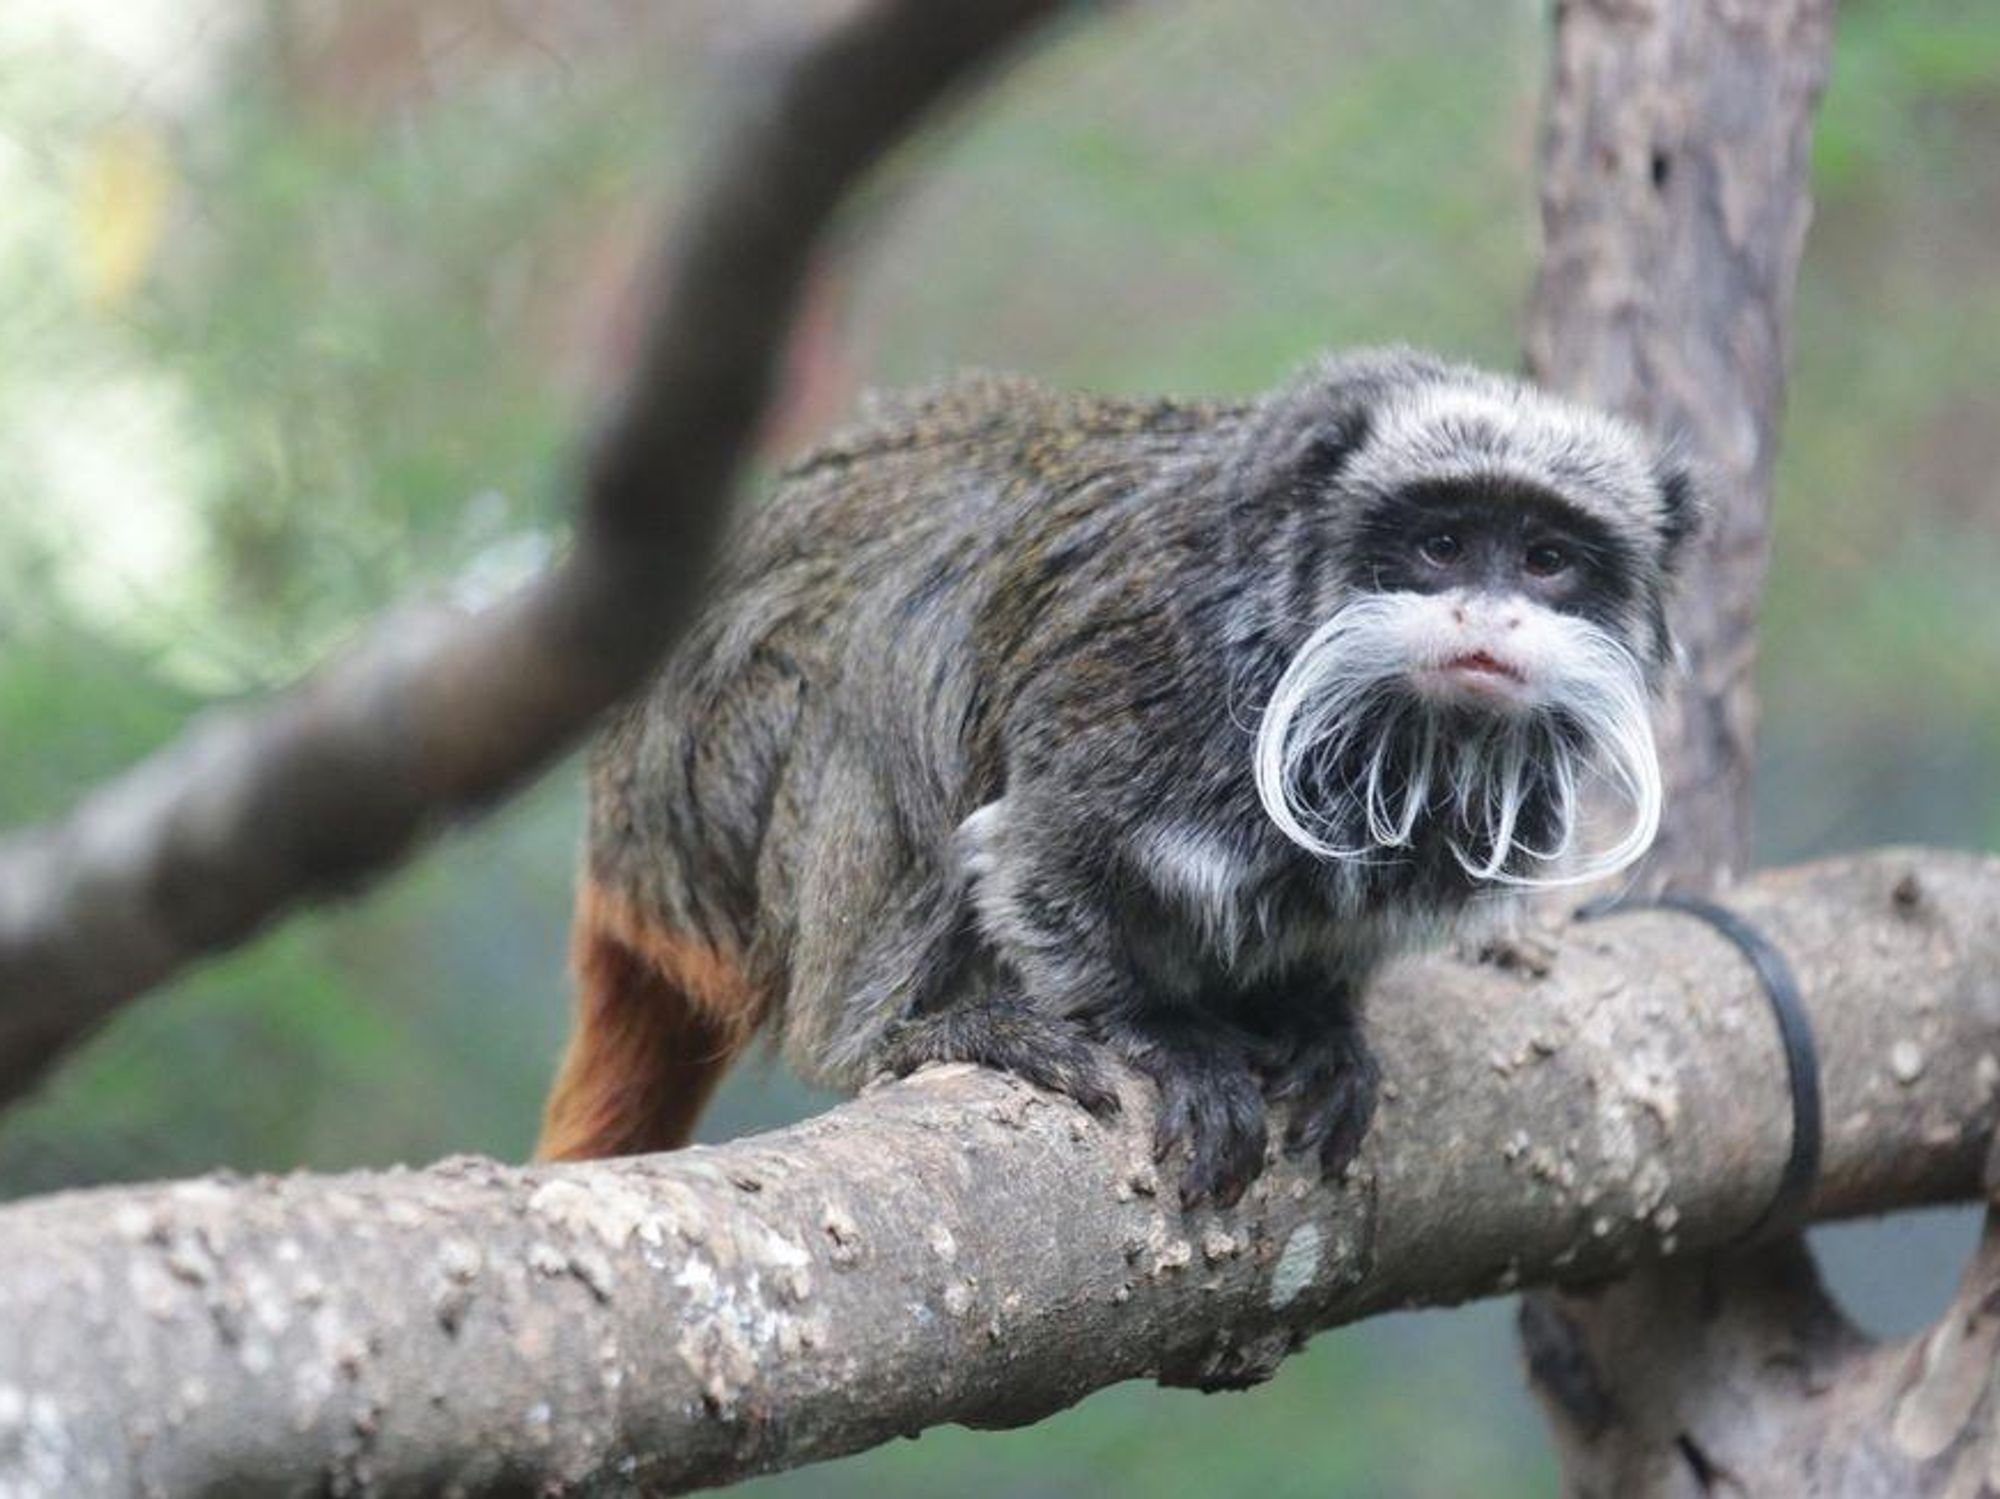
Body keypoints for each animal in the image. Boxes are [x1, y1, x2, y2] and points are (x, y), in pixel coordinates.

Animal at [537, 347, 1698, 1206]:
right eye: (1441, 542)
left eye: (1548, 559)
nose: (1490, 617)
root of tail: (617, 842)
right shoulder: (1145, 679)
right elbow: (1034, 859)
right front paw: (1164, 1035)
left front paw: (1319, 1020)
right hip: (708, 793)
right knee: (890, 659)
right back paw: (889, 1030)